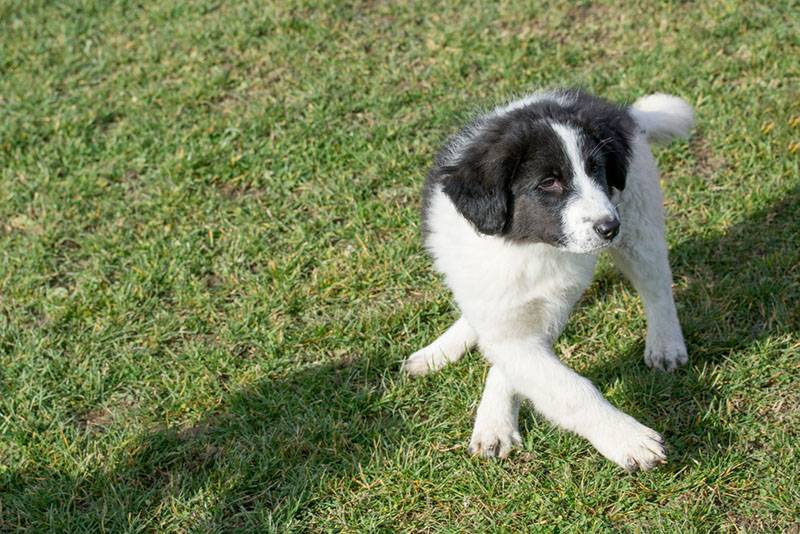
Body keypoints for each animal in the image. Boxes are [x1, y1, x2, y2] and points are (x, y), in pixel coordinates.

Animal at [406, 89, 692, 474]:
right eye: (548, 183)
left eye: (596, 170)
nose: (610, 227)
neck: (522, 248)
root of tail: (616, 110)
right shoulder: (497, 302)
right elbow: (552, 380)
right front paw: (626, 438)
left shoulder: (547, 310)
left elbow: (558, 383)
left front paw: (626, 439)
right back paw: (438, 351)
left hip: (639, 218)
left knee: (656, 284)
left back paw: (665, 344)